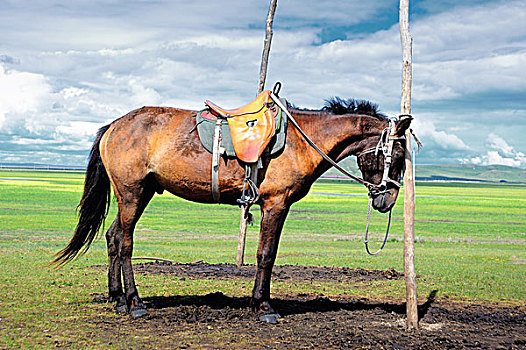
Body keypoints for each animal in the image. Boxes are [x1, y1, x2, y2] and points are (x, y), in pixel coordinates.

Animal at [53, 95, 414, 322]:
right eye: (396, 156)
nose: (387, 201)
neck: (302, 140)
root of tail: (114, 125)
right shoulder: (276, 204)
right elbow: (266, 254)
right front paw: (264, 306)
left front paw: (258, 303)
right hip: (131, 193)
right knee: (125, 242)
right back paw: (135, 304)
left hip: (140, 194)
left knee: (113, 237)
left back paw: (117, 299)